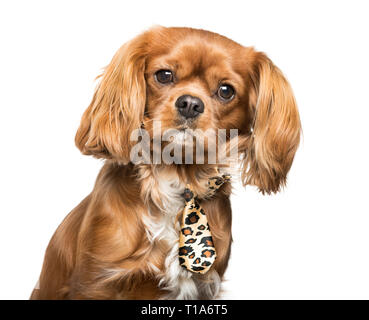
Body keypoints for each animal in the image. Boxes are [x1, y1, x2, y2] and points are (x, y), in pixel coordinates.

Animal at [30, 26, 300, 298]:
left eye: (226, 91)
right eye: (164, 75)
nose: (190, 103)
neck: (178, 178)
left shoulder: (204, 287)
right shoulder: (94, 283)